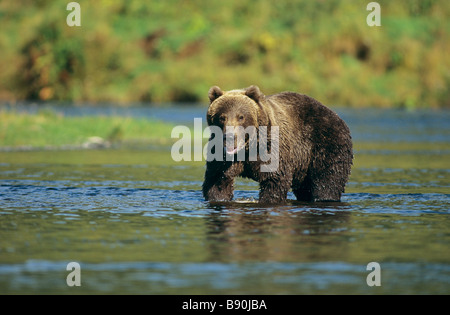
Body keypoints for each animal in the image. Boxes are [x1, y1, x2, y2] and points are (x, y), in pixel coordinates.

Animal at [202, 86, 354, 205]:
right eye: (222, 117)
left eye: (241, 117)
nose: (229, 137)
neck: (248, 147)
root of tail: (335, 114)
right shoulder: (220, 156)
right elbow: (217, 181)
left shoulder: (271, 148)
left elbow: (274, 179)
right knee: (305, 187)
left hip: (326, 144)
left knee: (328, 180)